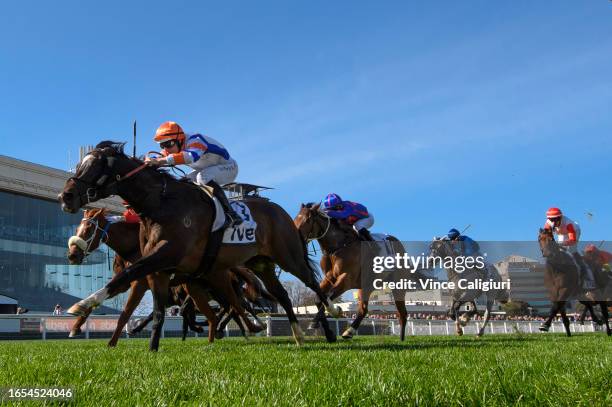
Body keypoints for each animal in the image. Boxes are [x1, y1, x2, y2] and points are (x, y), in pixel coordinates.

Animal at [58, 141, 334, 350]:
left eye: (94, 165)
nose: (65, 196)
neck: (160, 204)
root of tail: (280, 211)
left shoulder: (162, 257)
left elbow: (125, 281)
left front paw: (82, 305)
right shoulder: (158, 270)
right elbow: (155, 311)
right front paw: (151, 348)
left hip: (287, 257)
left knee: (309, 282)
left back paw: (329, 316)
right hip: (260, 264)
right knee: (279, 295)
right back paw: (297, 335)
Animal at [294, 203, 414, 342]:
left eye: (308, 220)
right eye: (295, 218)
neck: (338, 246)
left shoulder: (347, 279)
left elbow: (328, 297)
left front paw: (334, 312)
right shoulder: (329, 278)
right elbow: (319, 299)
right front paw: (329, 333)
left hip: (397, 285)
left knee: (402, 312)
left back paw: (401, 338)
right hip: (367, 285)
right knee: (364, 309)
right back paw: (349, 332)